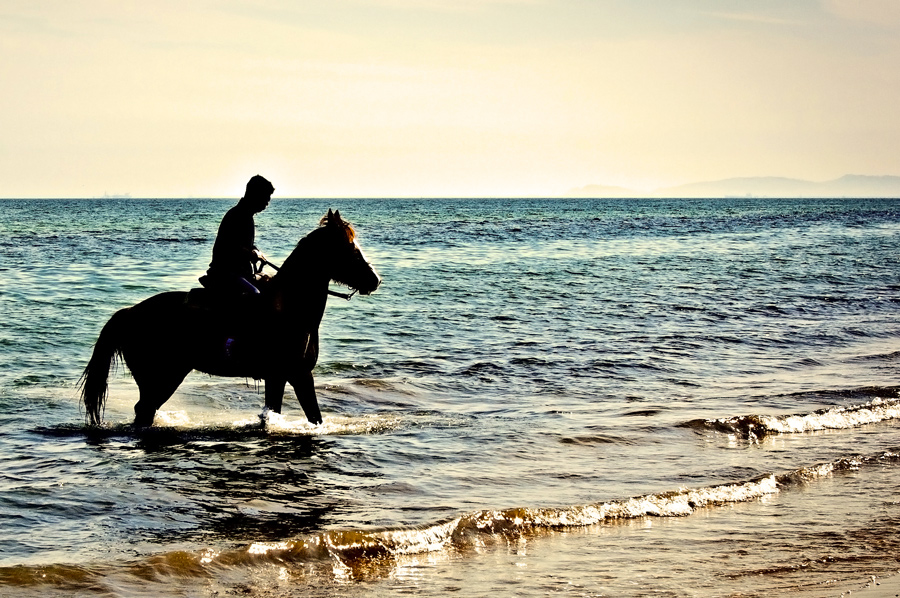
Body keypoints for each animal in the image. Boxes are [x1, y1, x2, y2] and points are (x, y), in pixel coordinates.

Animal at [80, 209, 381, 428]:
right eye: (350, 248)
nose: (375, 280)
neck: (290, 308)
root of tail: (129, 312)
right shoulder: (298, 375)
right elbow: (314, 417)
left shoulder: (278, 377)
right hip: (162, 378)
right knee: (144, 411)